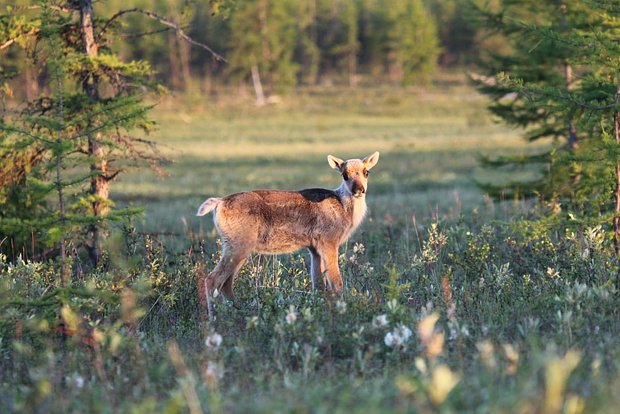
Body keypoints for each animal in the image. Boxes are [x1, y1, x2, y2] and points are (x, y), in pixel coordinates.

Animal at [196, 152, 380, 304]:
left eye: (366, 172)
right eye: (344, 174)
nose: (359, 190)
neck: (344, 209)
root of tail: (220, 202)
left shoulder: (314, 248)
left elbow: (318, 285)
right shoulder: (329, 241)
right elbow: (336, 284)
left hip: (238, 247)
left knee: (226, 283)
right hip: (239, 244)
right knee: (212, 280)